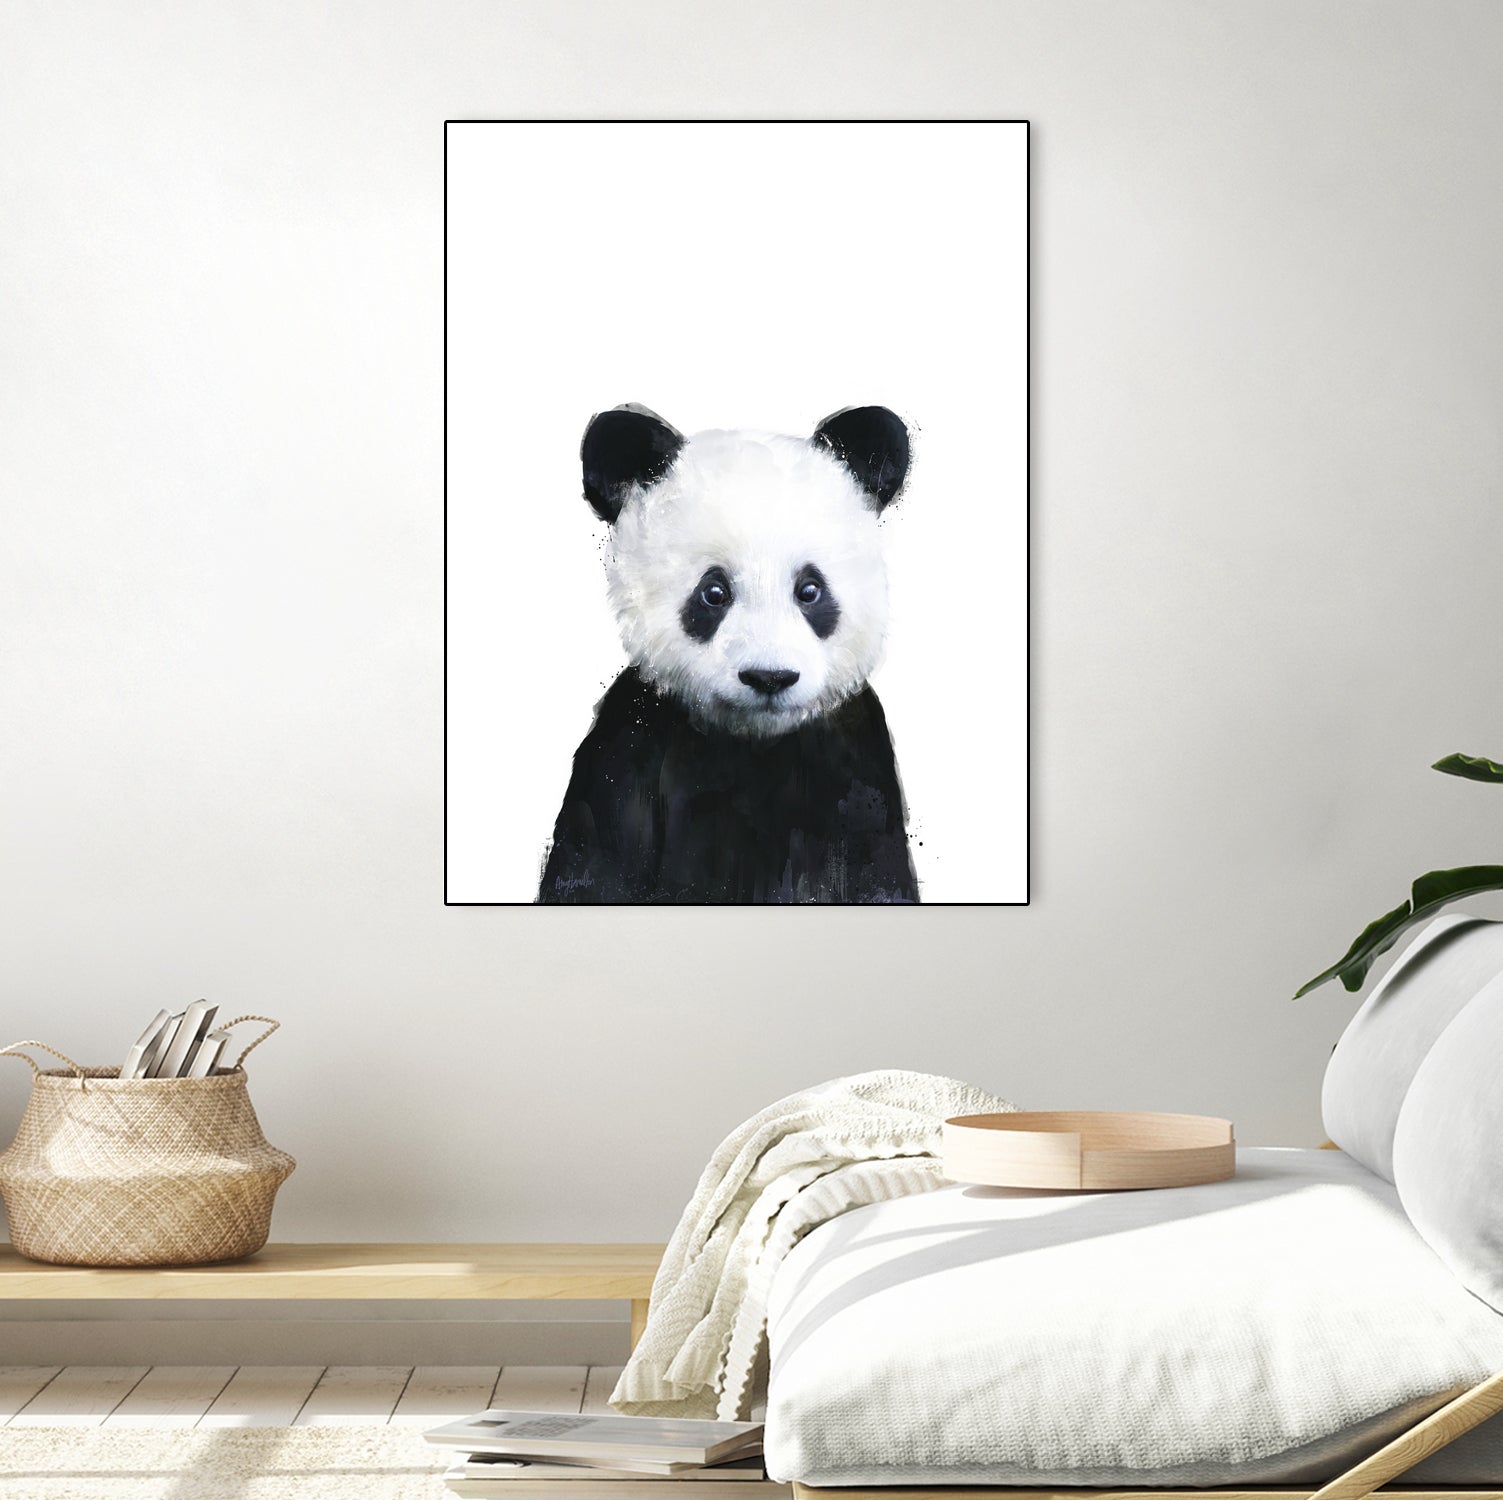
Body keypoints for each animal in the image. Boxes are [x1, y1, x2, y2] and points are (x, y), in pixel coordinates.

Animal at [537, 403, 919, 905]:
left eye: (810, 590)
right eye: (713, 592)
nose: (769, 677)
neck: (754, 741)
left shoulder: (855, 763)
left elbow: (876, 874)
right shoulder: (629, 748)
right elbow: (596, 866)